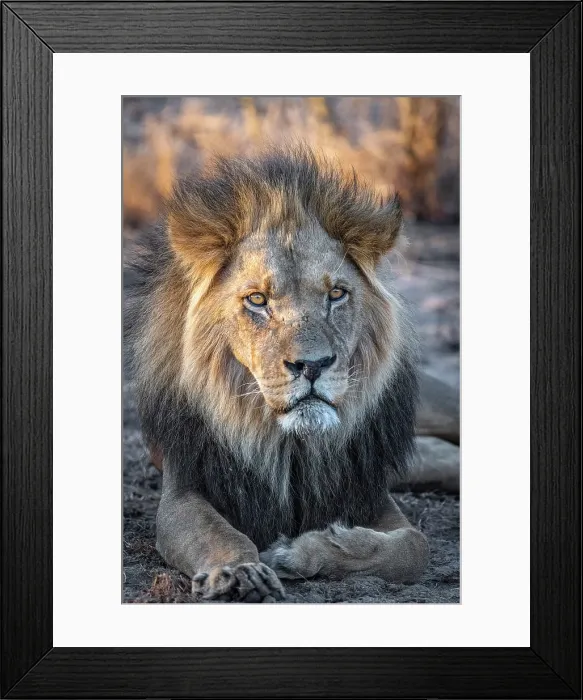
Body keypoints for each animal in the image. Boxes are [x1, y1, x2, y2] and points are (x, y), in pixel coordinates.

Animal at [124, 147, 430, 602]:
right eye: (257, 300)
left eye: (336, 294)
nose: (312, 365)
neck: (289, 445)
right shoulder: (184, 488)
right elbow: (220, 535)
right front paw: (239, 573)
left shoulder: (366, 489)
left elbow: (413, 547)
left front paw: (298, 552)